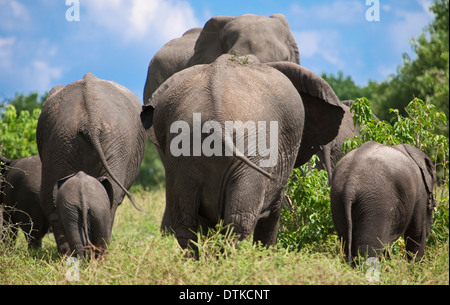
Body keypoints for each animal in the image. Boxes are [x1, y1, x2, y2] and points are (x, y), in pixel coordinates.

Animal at [37, 72, 146, 255]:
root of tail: (91, 120)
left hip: (62, 139)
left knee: (52, 197)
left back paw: (69, 254)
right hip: (106, 140)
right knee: (111, 196)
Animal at [142, 54, 344, 252]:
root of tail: (215, 109)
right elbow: (272, 216)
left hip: (182, 154)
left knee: (186, 225)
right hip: (251, 152)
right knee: (239, 223)